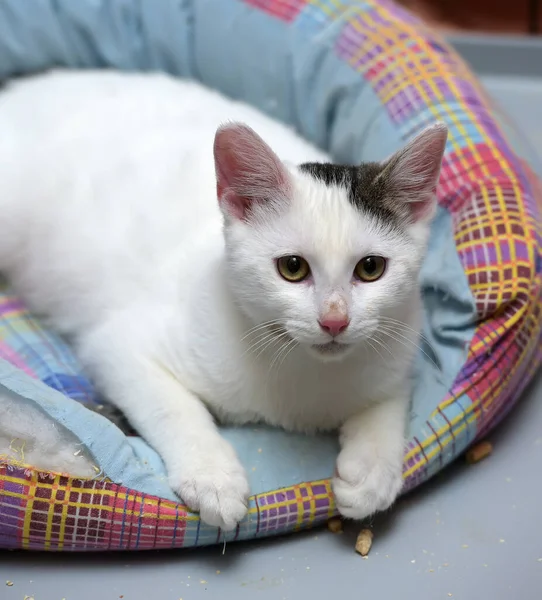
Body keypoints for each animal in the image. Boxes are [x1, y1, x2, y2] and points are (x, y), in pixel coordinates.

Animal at [0, 69, 448, 528]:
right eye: (292, 268)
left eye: (371, 268)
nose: (334, 320)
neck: (303, 373)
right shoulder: (119, 347)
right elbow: (173, 407)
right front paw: (212, 475)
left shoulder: (400, 343)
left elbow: (389, 401)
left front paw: (372, 472)